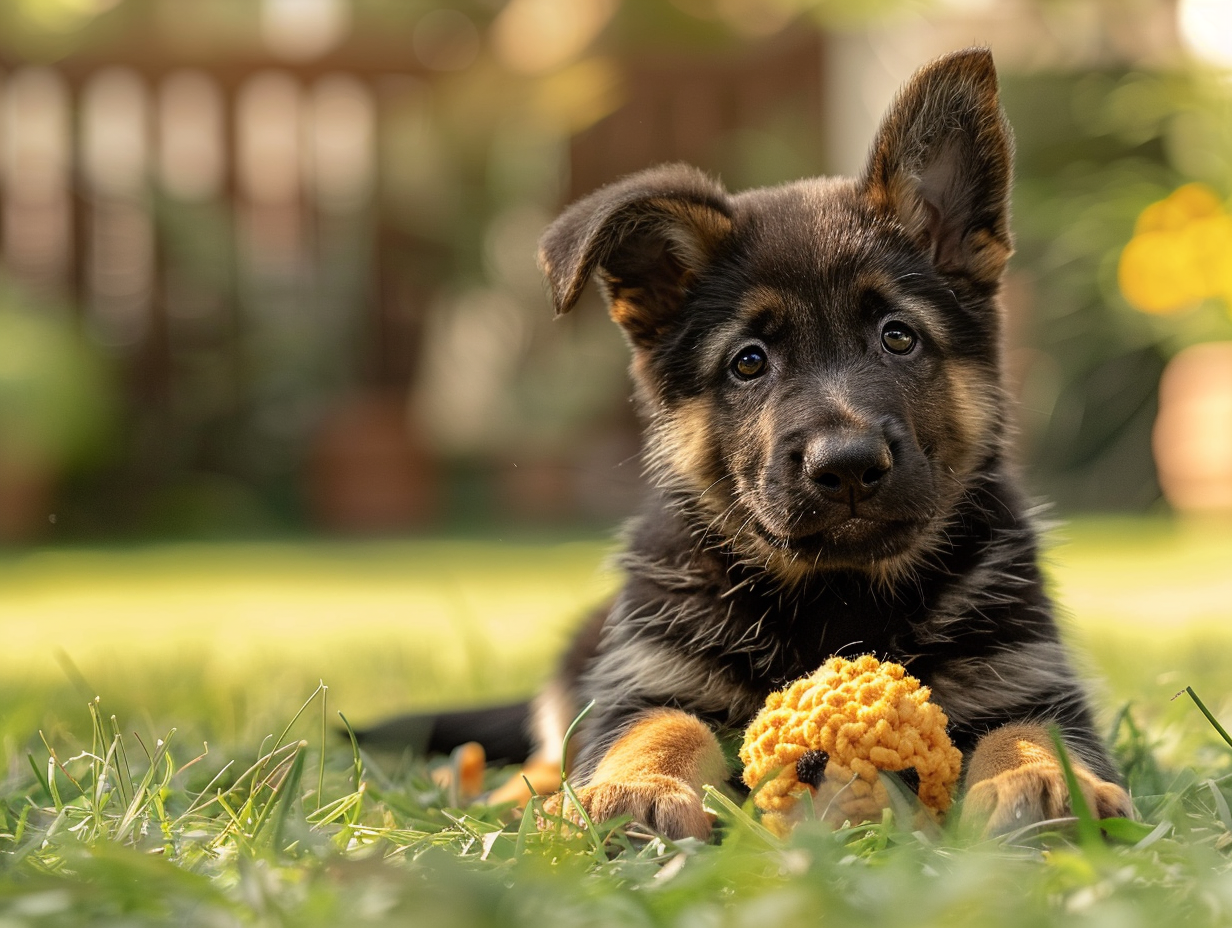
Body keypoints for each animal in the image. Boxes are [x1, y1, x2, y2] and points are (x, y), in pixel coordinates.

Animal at [492, 47, 1133, 838]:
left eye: (898, 337)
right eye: (749, 362)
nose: (849, 468)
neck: (838, 597)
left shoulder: (1027, 680)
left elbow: (1032, 731)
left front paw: (1045, 783)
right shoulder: (648, 678)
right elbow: (662, 724)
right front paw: (632, 787)